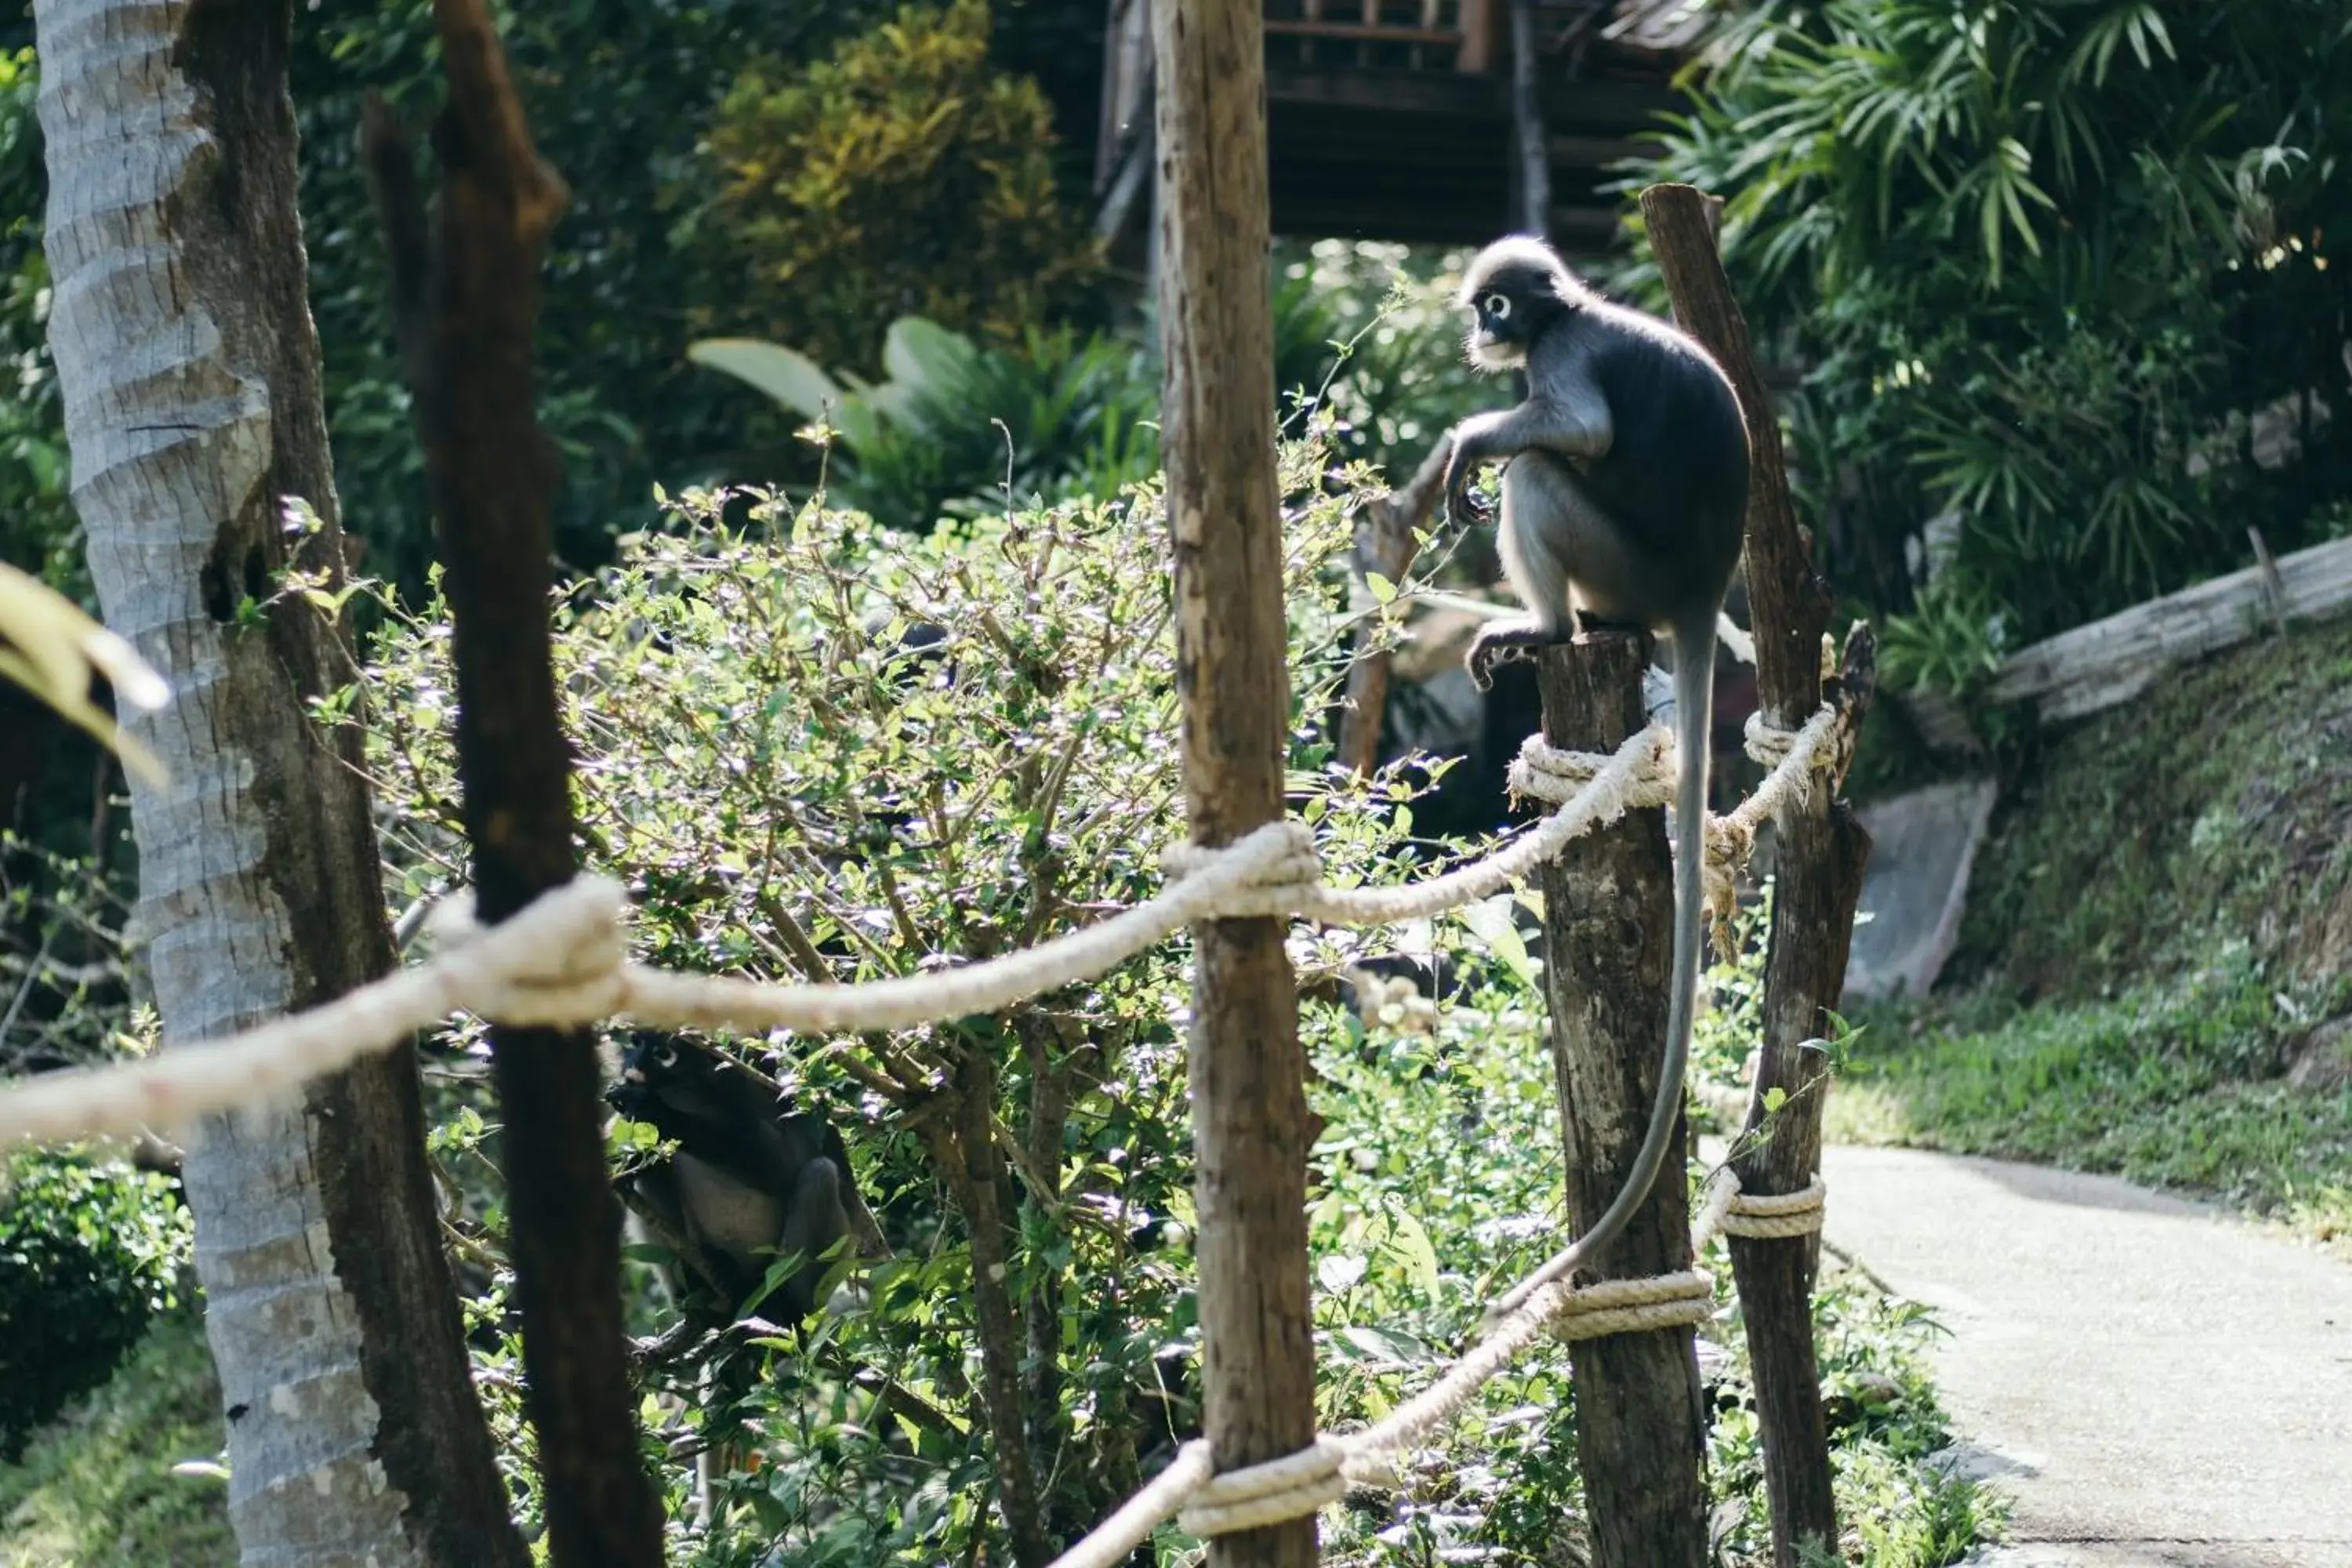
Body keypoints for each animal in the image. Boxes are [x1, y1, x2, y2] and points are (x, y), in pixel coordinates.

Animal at [1430, 232, 1750, 1279]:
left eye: (1495, 306)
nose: (1480, 332)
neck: (1565, 316)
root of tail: (1698, 592)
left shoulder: (1559, 359)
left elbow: (1581, 429)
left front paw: (1466, 442)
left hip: (1621, 566)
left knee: (1538, 469)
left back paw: (1546, 625)